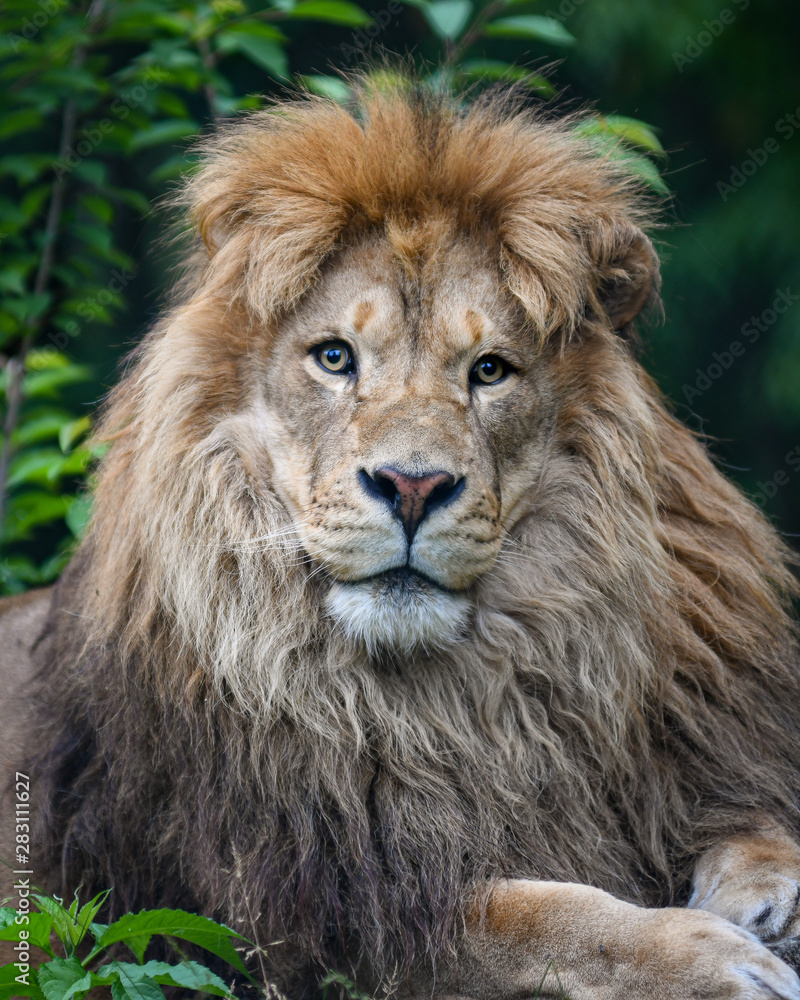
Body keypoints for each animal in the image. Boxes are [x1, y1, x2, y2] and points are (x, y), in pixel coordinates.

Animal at [3, 82, 800, 1000]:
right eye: (334, 358)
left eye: (489, 370)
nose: (412, 487)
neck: (455, 700)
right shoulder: (310, 917)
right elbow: (535, 918)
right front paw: (711, 960)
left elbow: (757, 822)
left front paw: (768, 897)